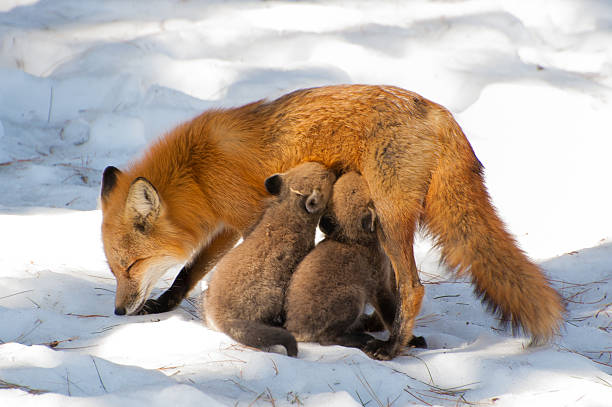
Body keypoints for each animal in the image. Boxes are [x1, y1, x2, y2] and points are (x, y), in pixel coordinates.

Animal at [100, 84, 564, 358]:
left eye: (131, 266)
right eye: (115, 269)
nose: (119, 311)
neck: (195, 169)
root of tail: (440, 113)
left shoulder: (252, 218)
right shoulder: (227, 226)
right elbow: (189, 272)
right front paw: (164, 305)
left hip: (390, 219)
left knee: (412, 287)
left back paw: (393, 344)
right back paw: (382, 327)